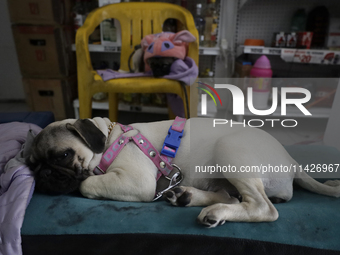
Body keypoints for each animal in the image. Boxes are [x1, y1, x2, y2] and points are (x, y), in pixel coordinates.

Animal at [27, 117, 340, 227]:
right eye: (31, 164)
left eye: (64, 156)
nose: (43, 174)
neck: (109, 138)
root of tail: (291, 160)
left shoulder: (135, 181)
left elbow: (85, 184)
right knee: (233, 196)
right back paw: (186, 196)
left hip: (230, 150)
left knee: (262, 208)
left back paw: (214, 212)